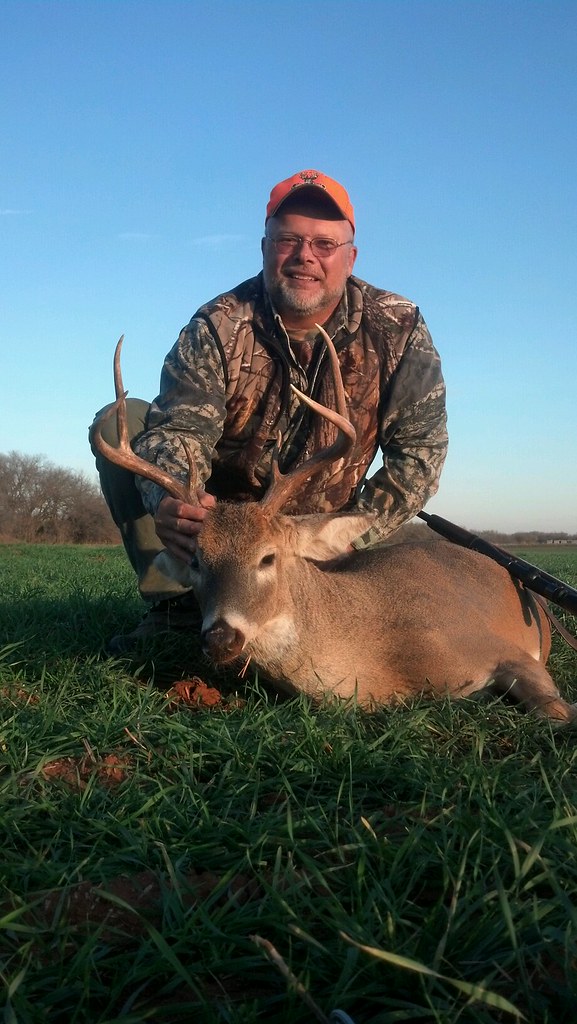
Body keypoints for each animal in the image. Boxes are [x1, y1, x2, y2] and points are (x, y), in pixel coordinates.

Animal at [90, 332, 577, 724]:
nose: (220, 638)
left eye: (268, 556)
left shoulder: (500, 649)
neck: (381, 660)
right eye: (196, 561)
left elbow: (556, 712)